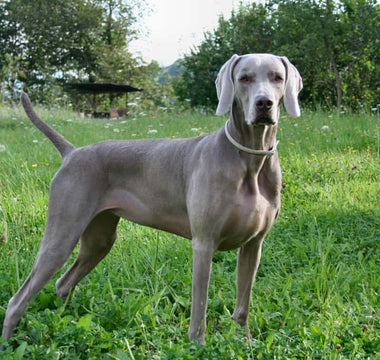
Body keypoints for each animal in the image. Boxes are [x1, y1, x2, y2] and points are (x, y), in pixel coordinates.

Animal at [1, 53, 302, 344]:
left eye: (277, 77)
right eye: (244, 78)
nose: (264, 104)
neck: (251, 158)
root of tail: (72, 152)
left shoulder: (254, 245)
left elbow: (243, 302)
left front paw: (245, 340)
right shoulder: (204, 243)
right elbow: (200, 305)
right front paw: (197, 345)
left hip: (99, 238)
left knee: (63, 283)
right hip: (62, 233)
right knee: (18, 299)